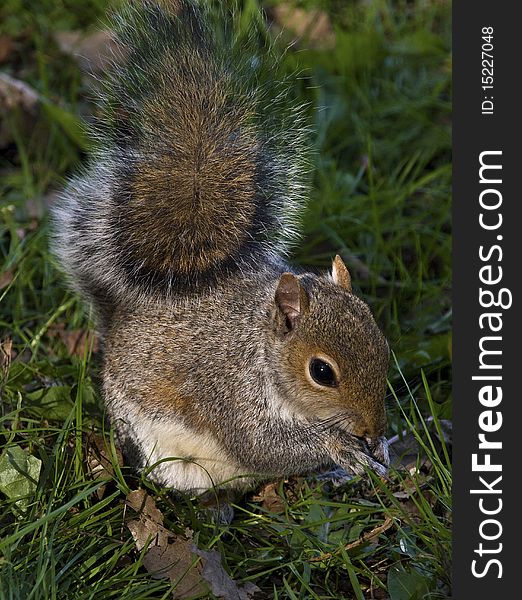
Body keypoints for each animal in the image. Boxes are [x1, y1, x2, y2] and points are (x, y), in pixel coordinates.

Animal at [51, 1, 390, 492]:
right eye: (322, 372)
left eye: (383, 344)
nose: (373, 428)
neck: (261, 348)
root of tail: (117, 324)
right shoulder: (232, 392)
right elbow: (263, 444)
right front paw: (340, 448)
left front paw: (378, 449)